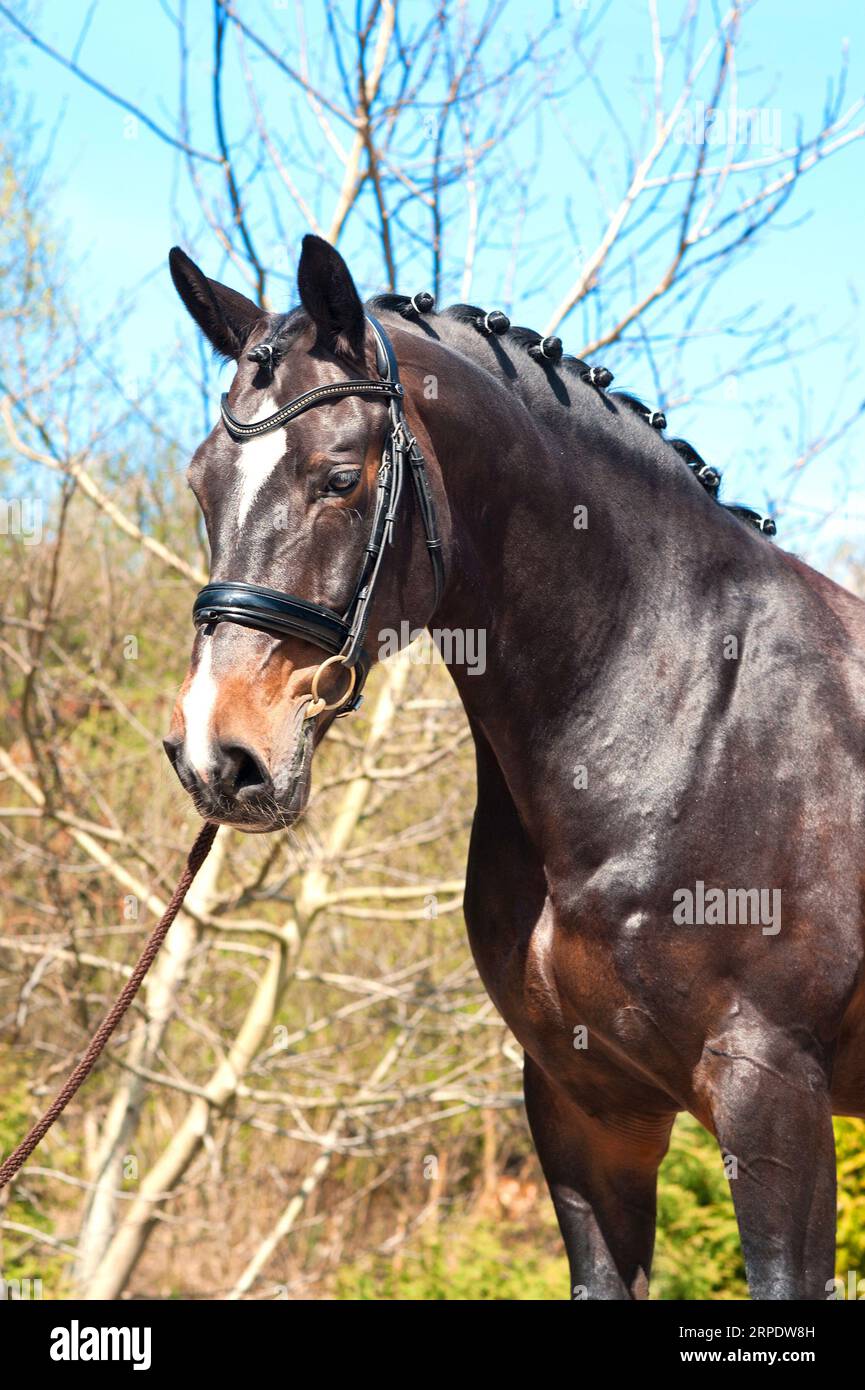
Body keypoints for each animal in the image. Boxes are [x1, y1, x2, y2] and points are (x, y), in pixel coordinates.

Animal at [164, 233, 865, 1300]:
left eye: (339, 477)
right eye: (203, 485)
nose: (218, 753)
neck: (678, 712)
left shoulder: (772, 1091)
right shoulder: (584, 1108)